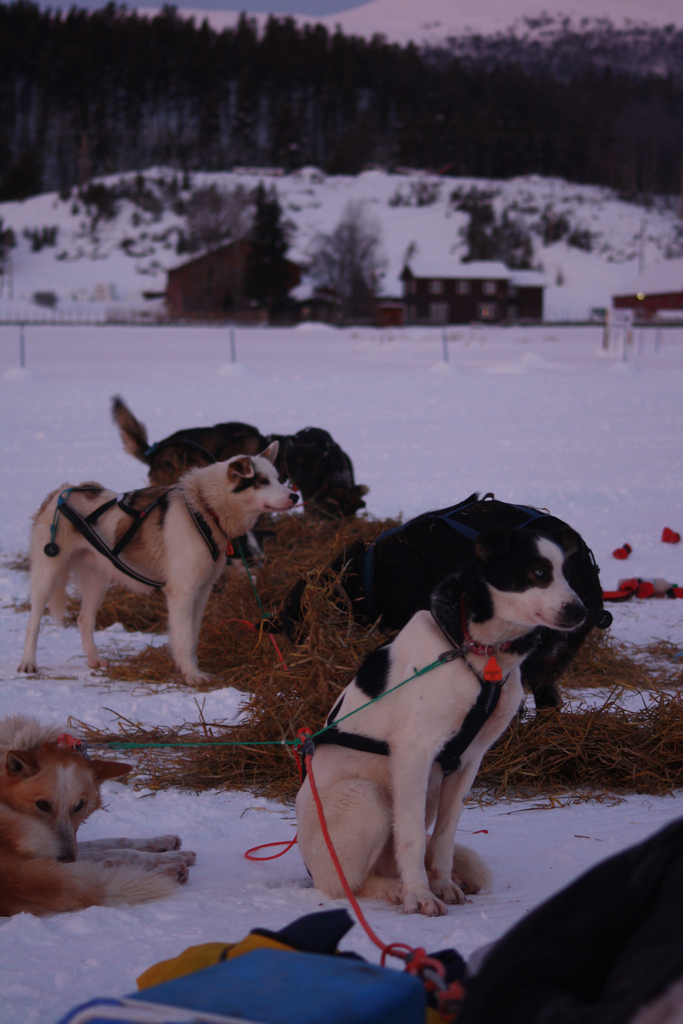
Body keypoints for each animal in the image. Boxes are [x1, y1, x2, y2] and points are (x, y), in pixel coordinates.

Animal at [0, 716, 197, 917]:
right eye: (42, 804)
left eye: (79, 805)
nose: (66, 857)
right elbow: (120, 852)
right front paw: (170, 858)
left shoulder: (71, 843)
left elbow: (115, 841)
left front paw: (164, 843)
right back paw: (168, 871)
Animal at [17, 446, 296, 679]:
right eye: (262, 481)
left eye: (278, 478)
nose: (294, 496)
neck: (204, 508)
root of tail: (62, 491)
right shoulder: (182, 592)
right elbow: (184, 639)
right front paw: (192, 676)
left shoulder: (202, 591)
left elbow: (192, 635)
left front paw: (190, 668)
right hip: (47, 574)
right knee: (33, 623)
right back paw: (28, 662)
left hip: (97, 581)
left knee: (84, 620)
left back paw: (94, 660)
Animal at [296, 524, 585, 917]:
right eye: (539, 572)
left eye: (568, 574)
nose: (580, 611)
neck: (477, 652)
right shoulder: (413, 753)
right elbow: (414, 838)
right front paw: (419, 895)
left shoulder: (468, 760)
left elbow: (444, 837)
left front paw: (443, 884)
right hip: (366, 796)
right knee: (347, 884)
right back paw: (393, 889)